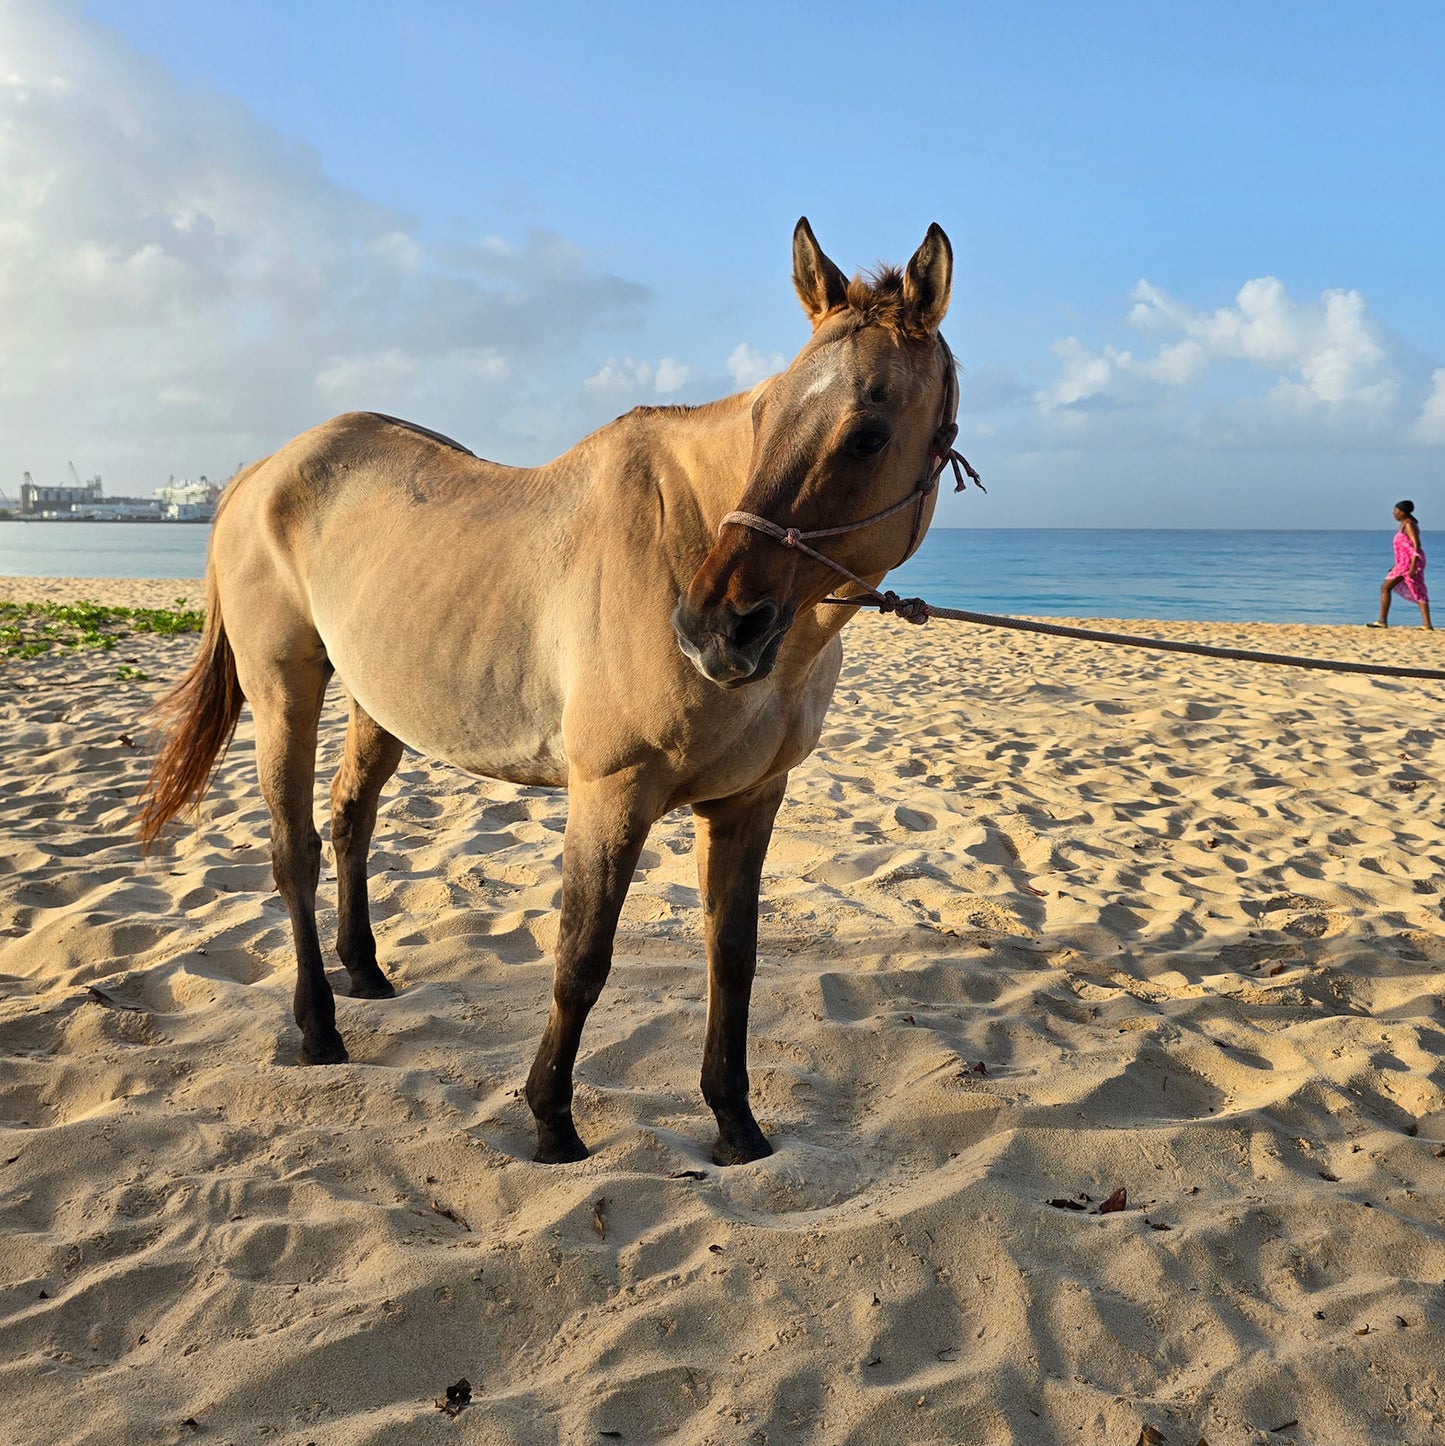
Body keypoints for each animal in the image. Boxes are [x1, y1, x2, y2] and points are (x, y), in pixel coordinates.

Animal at [139, 218, 964, 1167]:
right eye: (764, 418)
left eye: (867, 433)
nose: (714, 629)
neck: (683, 532)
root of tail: (265, 469)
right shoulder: (610, 794)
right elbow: (581, 959)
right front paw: (551, 1119)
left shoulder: (750, 801)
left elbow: (733, 958)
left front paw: (734, 1124)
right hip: (285, 690)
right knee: (293, 851)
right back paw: (317, 1028)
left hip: (374, 701)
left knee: (350, 820)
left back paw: (366, 970)